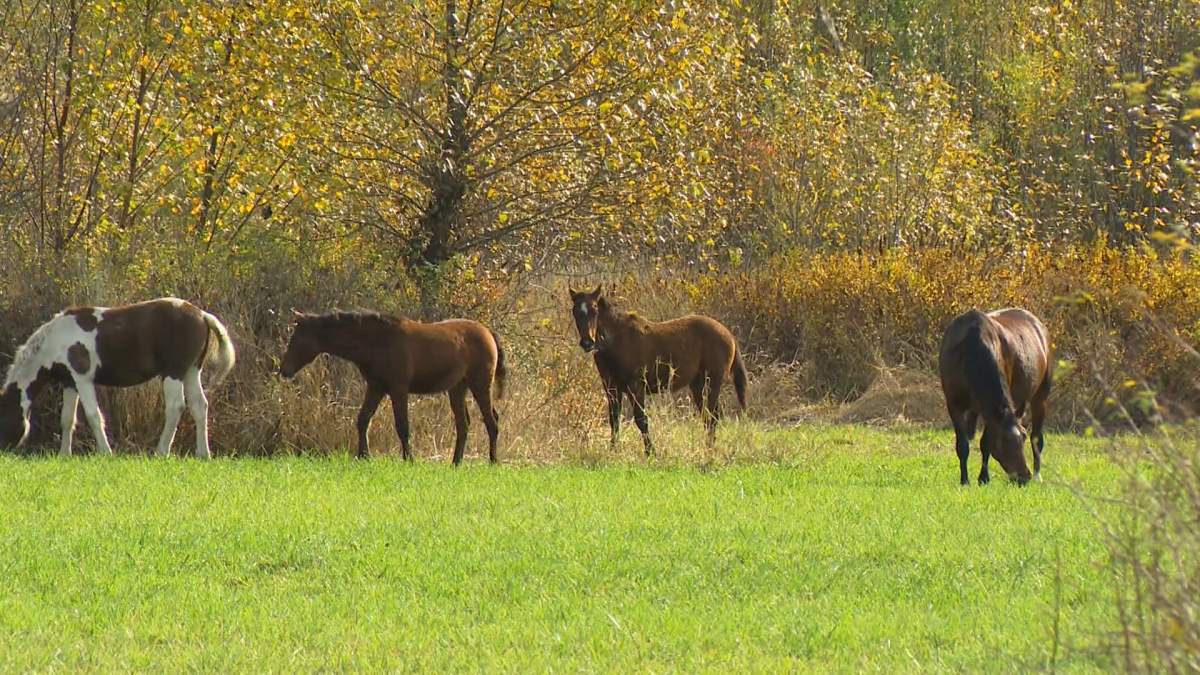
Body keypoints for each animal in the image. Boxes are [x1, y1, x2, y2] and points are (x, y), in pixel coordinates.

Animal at [0, 298, 236, 458]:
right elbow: (67, 419)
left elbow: (93, 415)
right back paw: (203, 454)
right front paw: (64, 455)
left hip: (174, 372)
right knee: (199, 406)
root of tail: (201, 314)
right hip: (191, 371)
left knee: (176, 406)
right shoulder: (70, 383)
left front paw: (105, 452)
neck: (56, 340)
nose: (4, 453)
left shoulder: (83, 379)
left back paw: (161, 451)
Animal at [279, 310, 506, 464]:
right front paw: (363, 456)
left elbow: (402, 426)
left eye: (297, 338)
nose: (284, 370)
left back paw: (493, 461)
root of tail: (488, 332)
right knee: (464, 424)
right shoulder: (376, 387)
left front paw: (409, 459)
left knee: (491, 421)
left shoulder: (398, 389)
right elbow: (363, 419)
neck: (378, 342)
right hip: (457, 388)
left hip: (480, 385)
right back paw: (455, 463)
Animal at [568, 286, 747, 453]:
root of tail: (729, 335)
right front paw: (614, 450)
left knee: (712, 417)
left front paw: (650, 453)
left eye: (595, 310)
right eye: (575, 312)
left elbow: (641, 420)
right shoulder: (611, 387)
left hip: (713, 383)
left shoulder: (636, 386)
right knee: (708, 417)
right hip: (698, 386)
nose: (587, 343)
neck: (617, 340)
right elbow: (614, 419)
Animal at [938, 307, 1052, 486]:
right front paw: (965, 481)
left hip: (1040, 397)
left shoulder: (989, 411)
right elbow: (962, 445)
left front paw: (983, 478)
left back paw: (1037, 475)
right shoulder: (954, 405)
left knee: (1037, 438)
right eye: (1005, 441)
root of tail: (1039, 325)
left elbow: (985, 443)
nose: (1023, 476)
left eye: (1023, 437)